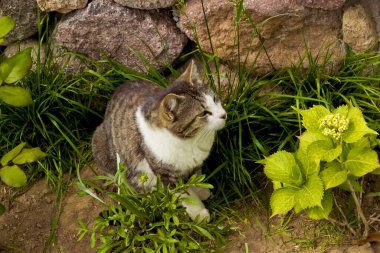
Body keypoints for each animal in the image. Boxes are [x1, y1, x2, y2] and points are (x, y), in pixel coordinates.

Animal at [92, 59, 227, 221]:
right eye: (203, 113)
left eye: (214, 99)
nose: (224, 115)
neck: (191, 140)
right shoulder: (167, 175)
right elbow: (185, 195)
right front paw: (199, 214)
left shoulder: (196, 163)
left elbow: (195, 177)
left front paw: (201, 190)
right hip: (101, 145)